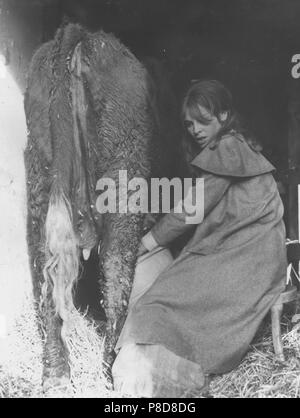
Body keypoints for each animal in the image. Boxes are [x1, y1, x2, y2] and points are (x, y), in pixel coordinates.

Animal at [24, 22, 183, 388]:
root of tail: (79, 35)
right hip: (124, 180)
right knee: (115, 273)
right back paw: (112, 368)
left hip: (41, 178)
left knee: (46, 273)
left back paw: (56, 374)